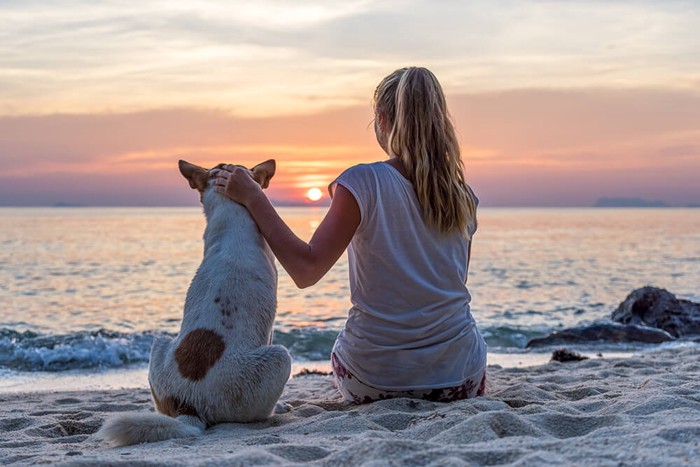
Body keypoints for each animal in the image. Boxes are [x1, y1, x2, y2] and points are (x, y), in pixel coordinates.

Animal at [99, 160, 292, 446]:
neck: (230, 214)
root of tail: (189, 406)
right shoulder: (268, 331)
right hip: (278, 358)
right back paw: (276, 408)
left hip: (159, 345)